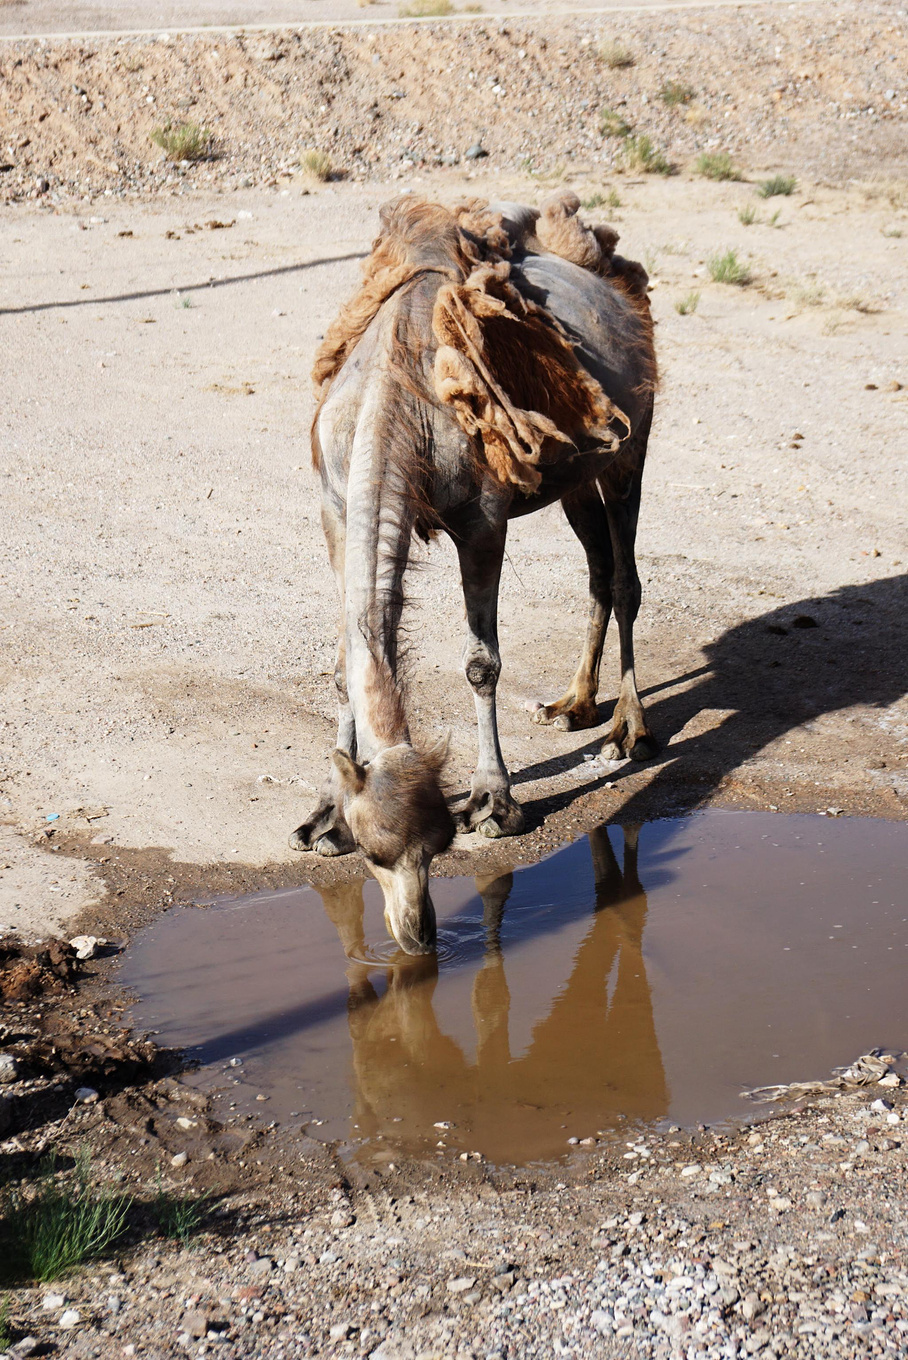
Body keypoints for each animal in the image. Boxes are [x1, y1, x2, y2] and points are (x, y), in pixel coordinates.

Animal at [294, 191, 655, 957]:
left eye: (441, 845)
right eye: (376, 853)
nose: (420, 934)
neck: (395, 405)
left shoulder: (484, 519)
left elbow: (481, 662)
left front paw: (496, 799)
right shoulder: (334, 508)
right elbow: (344, 660)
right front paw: (324, 817)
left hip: (631, 438)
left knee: (626, 575)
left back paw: (627, 730)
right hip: (573, 477)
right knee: (599, 567)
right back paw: (573, 705)